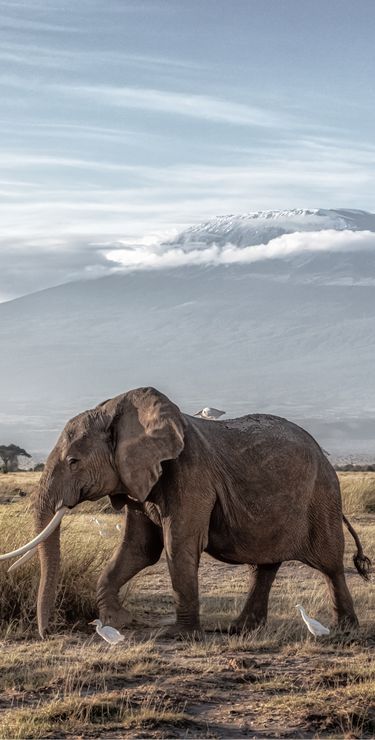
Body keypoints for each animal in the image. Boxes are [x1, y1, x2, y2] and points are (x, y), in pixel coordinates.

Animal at [0, 388, 370, 636]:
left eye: (74, 461)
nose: (46, 633)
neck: (121, 409)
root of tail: (324, 455)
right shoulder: (140, 479)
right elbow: (139, 549)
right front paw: (119, 622)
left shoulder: (190, 472)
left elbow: (177, 544)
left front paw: (179, 635)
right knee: (265, 566)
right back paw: (240, 629)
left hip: (322, 493)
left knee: (329, 563)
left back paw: (344, 631)